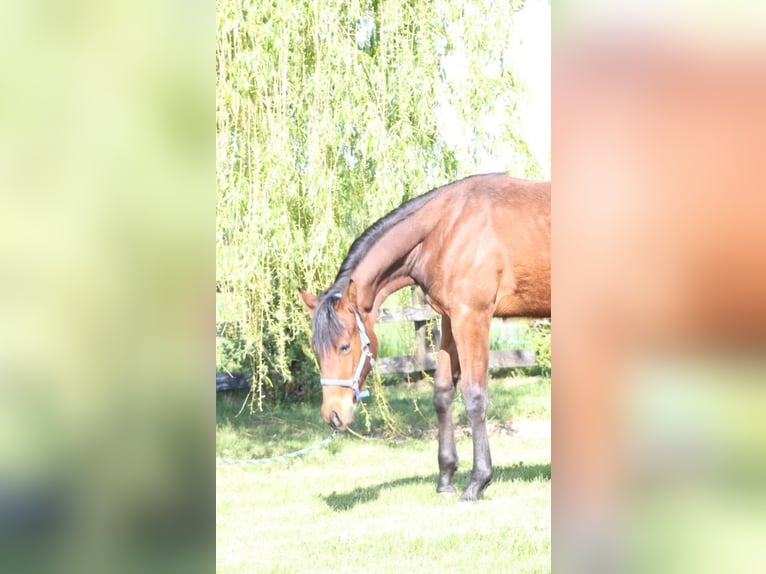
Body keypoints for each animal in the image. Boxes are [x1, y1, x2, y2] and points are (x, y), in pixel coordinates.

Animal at [299, 173, 550, 501]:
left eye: (343, 346)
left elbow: (475, 395)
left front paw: (477, 482)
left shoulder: (472, 317)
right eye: (315, 350)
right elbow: (443, 393)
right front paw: (445, 479)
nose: (333, 414)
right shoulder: (450, 319)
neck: (447, 227)